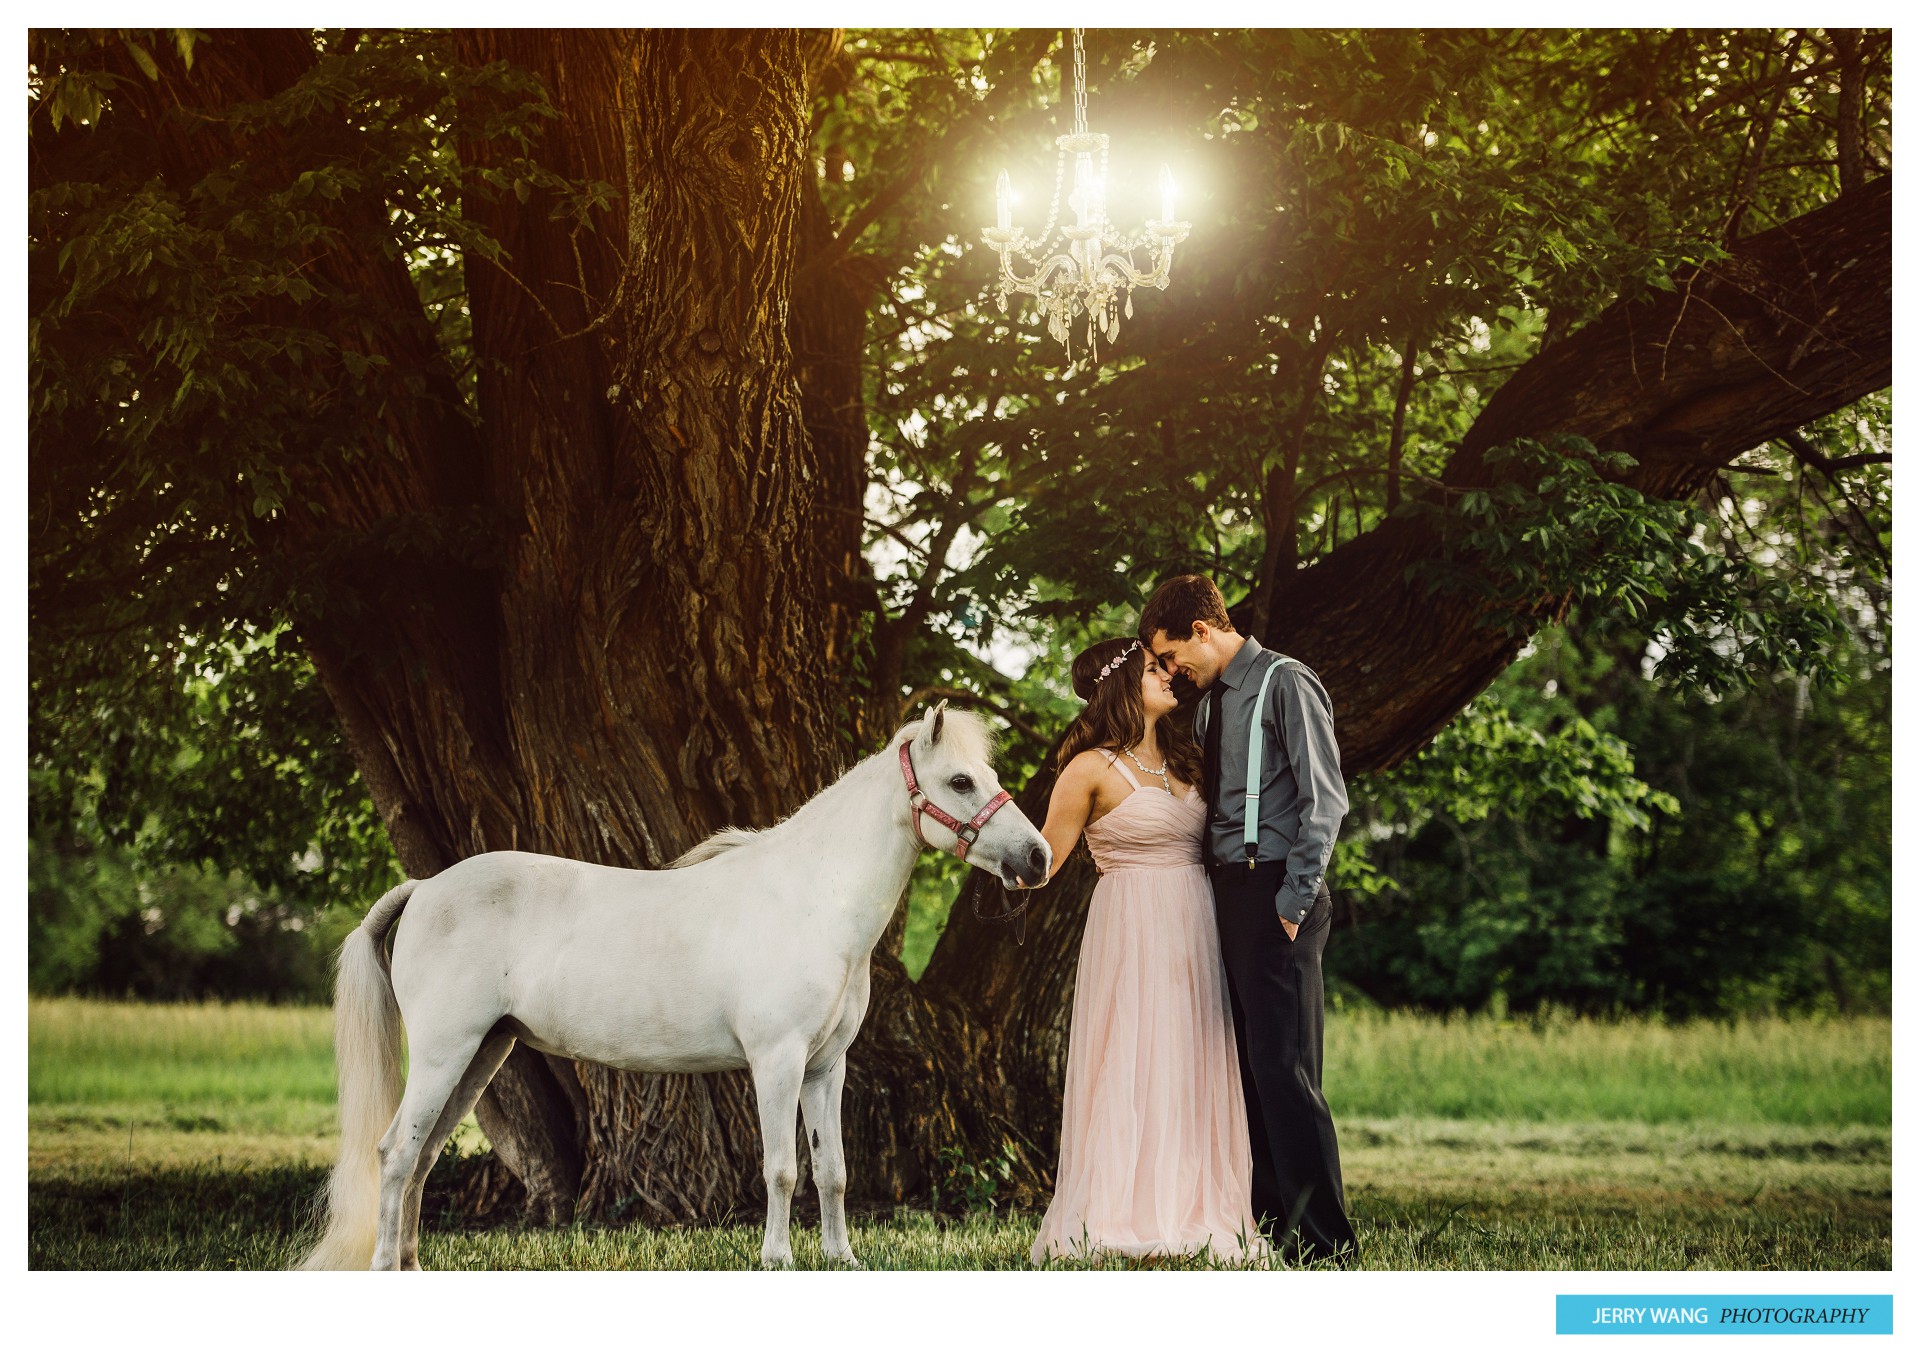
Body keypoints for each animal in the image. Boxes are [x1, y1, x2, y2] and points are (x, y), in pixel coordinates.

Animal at [295, 702, 1052, 1274]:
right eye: (961, 780)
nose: (1038, 856)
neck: (810, 897)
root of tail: (425, 887)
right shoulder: (775, 1061)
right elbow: (782, 1168)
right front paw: (777, 1258)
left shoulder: (825, 1068)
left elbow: (831, 1169)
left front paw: (842, 1258)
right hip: (445, 1053)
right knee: (396, 1153)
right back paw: (386, 1265)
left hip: (482, 1055)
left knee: (419, 1158)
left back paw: (410, 1263)